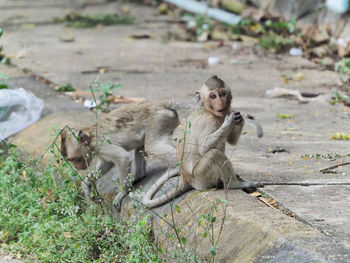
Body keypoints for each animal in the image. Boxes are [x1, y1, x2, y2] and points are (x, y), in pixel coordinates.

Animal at [142, 75, 262, 208]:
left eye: (223, 94)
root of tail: (185, 178)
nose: (220, 102)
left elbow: (232, 141)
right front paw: (229, 123)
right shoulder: (209, 121)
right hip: (200, 178)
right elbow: (203, 148)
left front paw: (240, 118)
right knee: (214, 154)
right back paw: (234, 184)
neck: (209, 110)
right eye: (213, 96)